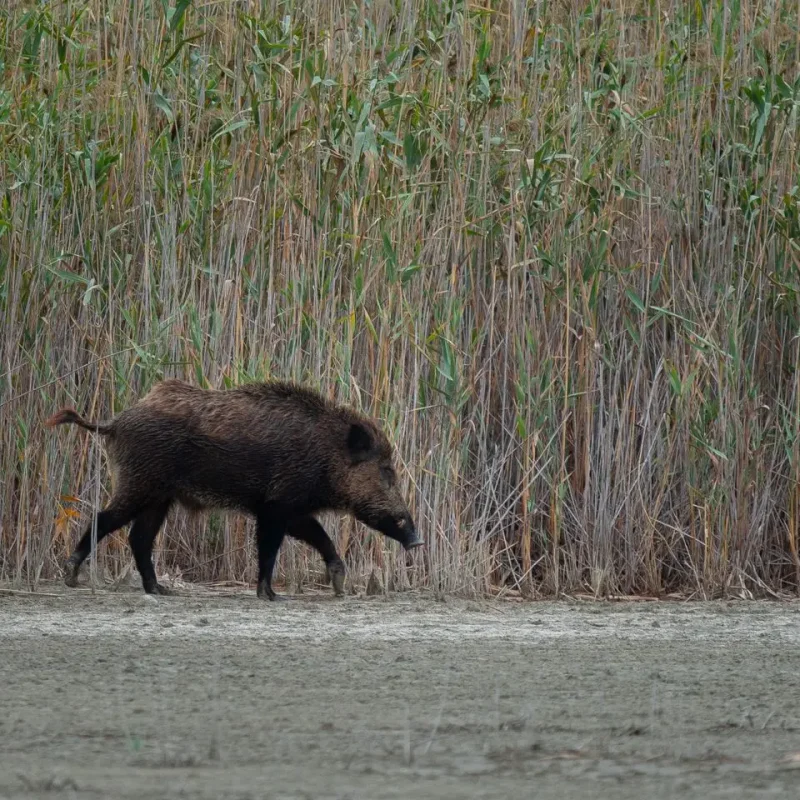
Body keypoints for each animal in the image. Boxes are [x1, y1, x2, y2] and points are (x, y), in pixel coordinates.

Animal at [45, 379, 422, 600]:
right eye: (386, 470)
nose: (417, 540)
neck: (327, 455)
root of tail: (115, 422)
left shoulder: (291, 509)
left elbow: (318, 535)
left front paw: (340, 586)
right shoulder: (275, 505)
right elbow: (270, 548)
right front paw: (270, 596)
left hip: (159, 496)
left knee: (139, 537)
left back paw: (161, 590)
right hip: (140, 484)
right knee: (105, 519)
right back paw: (71, 577)